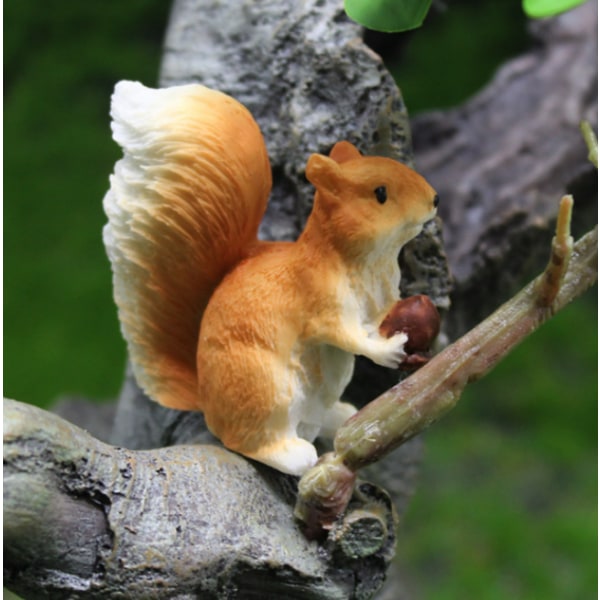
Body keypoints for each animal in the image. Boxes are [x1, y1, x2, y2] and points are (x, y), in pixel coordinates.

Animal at [105, 81, 438, 474]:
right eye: (380, 194)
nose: (434, 199)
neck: (368, 261)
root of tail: (208, 404)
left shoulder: (383, 295)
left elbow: (383, 314)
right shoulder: (319, 295)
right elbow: (346, 333)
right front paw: (387, 349)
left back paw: (340, 417)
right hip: (265, 386)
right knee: (252, 441)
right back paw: (292, 454)